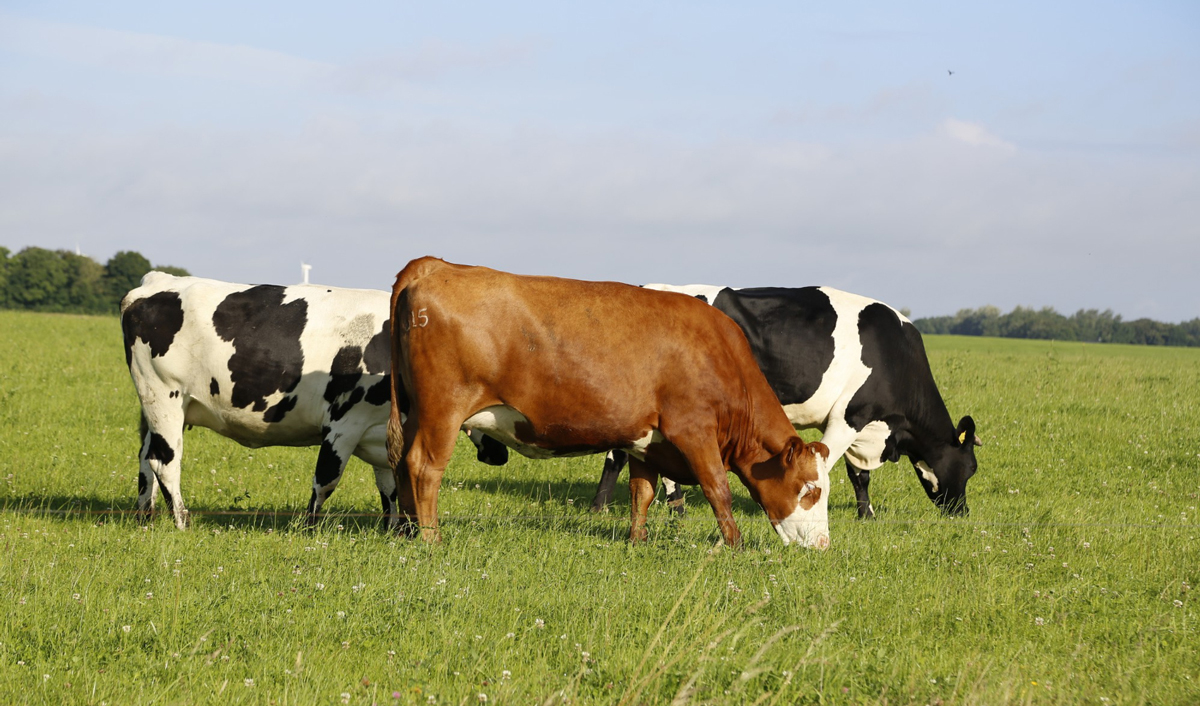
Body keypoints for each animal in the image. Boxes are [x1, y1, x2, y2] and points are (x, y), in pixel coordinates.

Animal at [120, 273, 503, 529]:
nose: (500, 456)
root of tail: (157, 281)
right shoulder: (345, 422)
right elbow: (326, 480)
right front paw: (309, 527)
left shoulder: (381, 431)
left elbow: (390, 485)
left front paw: (395, 529)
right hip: (164, 397)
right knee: (164, 461)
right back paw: (181, 520)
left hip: (162, 408)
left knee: (144, 458)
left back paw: (145, 517)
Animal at [385, 257, 832, 549]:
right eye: (810, 488)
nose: (824, 543)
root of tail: (436, 265)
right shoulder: (694, 430)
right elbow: (717, 488)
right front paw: (734, 544)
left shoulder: (647, 440)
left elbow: (642, 492)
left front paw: (637, 541)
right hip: (443, 410)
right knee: (423, 467)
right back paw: (430, 540)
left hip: (415, 411)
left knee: (402, 462)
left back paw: (405, 531)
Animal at [591, 285, 982, 519]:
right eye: (972, 467)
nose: (961, 513)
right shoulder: (849, 417)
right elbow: (827, 466)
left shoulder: (859, 422)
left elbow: (859, 476)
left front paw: (865, 515)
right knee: (616, 455)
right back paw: (603, 508)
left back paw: (668, 508)